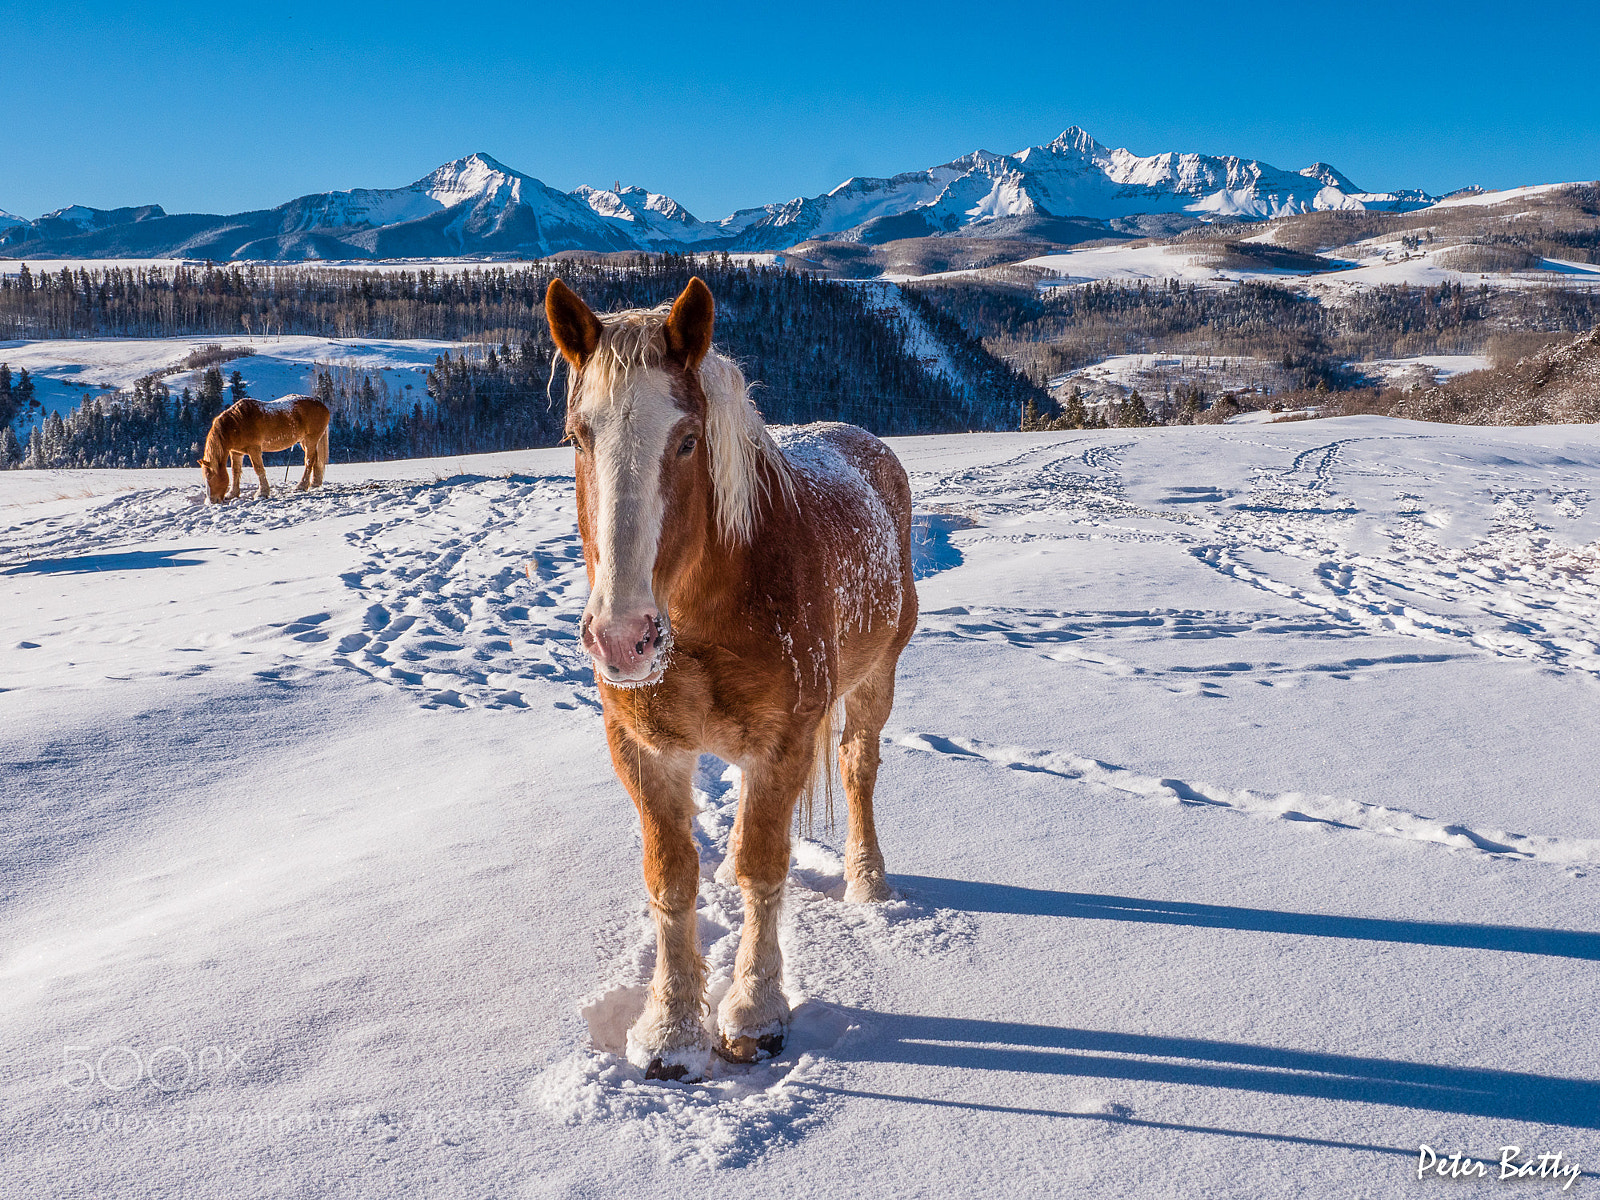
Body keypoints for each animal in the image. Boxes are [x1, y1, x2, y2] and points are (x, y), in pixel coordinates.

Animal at [198, 395, 331, 503]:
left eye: (210, 477)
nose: (211, 501)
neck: (236, 424)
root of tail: (321, 404)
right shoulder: (236, 452)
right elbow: (235, 471)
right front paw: (232, 493)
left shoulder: (254, 449)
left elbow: (259, 469)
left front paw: (262, 493)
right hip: (304, 441)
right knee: (315, 459)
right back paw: (314, 483)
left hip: (310, 439)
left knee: (309, 461)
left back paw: (301, 486)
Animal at [545, 276, 918, 1081]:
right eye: (577, 436)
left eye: (687, 440)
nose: (622, 638)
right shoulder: (644, 750)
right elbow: (671, 874)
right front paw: (670, 1030)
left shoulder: (783, 745)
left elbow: (763, 867)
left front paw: (755, 1013)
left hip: (876, 679)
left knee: (857, 765)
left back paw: (867, 880)